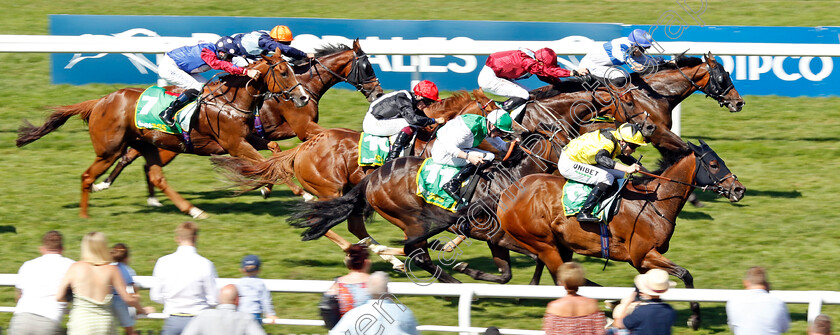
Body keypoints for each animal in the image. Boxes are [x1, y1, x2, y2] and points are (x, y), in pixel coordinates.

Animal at [15, 50, 308, 218]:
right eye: (284, 72)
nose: (303, 97)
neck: (230, 101)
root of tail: (99, 101)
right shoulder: (234, 144)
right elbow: (269, 163)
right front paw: (301, 193)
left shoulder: (249, 138)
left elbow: (273, 154)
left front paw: (269, 187)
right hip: (109, 149)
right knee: (88, 176)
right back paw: (85, 216)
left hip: (147, 144)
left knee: (155, 176)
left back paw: (193, 210)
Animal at [89, 40, 384, 206]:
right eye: (368, 66)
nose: (378, 92)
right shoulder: (303, 129)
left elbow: (273, 156)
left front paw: (266, 187)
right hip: (168, 144)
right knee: (130, 156)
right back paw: (107, 184)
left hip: (162, 143)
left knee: (134, 156)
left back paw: (136, 192)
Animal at [496, 140, 744, 330]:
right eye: (714, 164)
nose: (739, 189)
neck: (654, 203)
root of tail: (508, 193)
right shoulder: (642, 255)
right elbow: (686, 274)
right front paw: (694, 318)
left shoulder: (644, 262)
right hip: (543, 243)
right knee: (561, 276)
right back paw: (610, 299)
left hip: (561, 244)